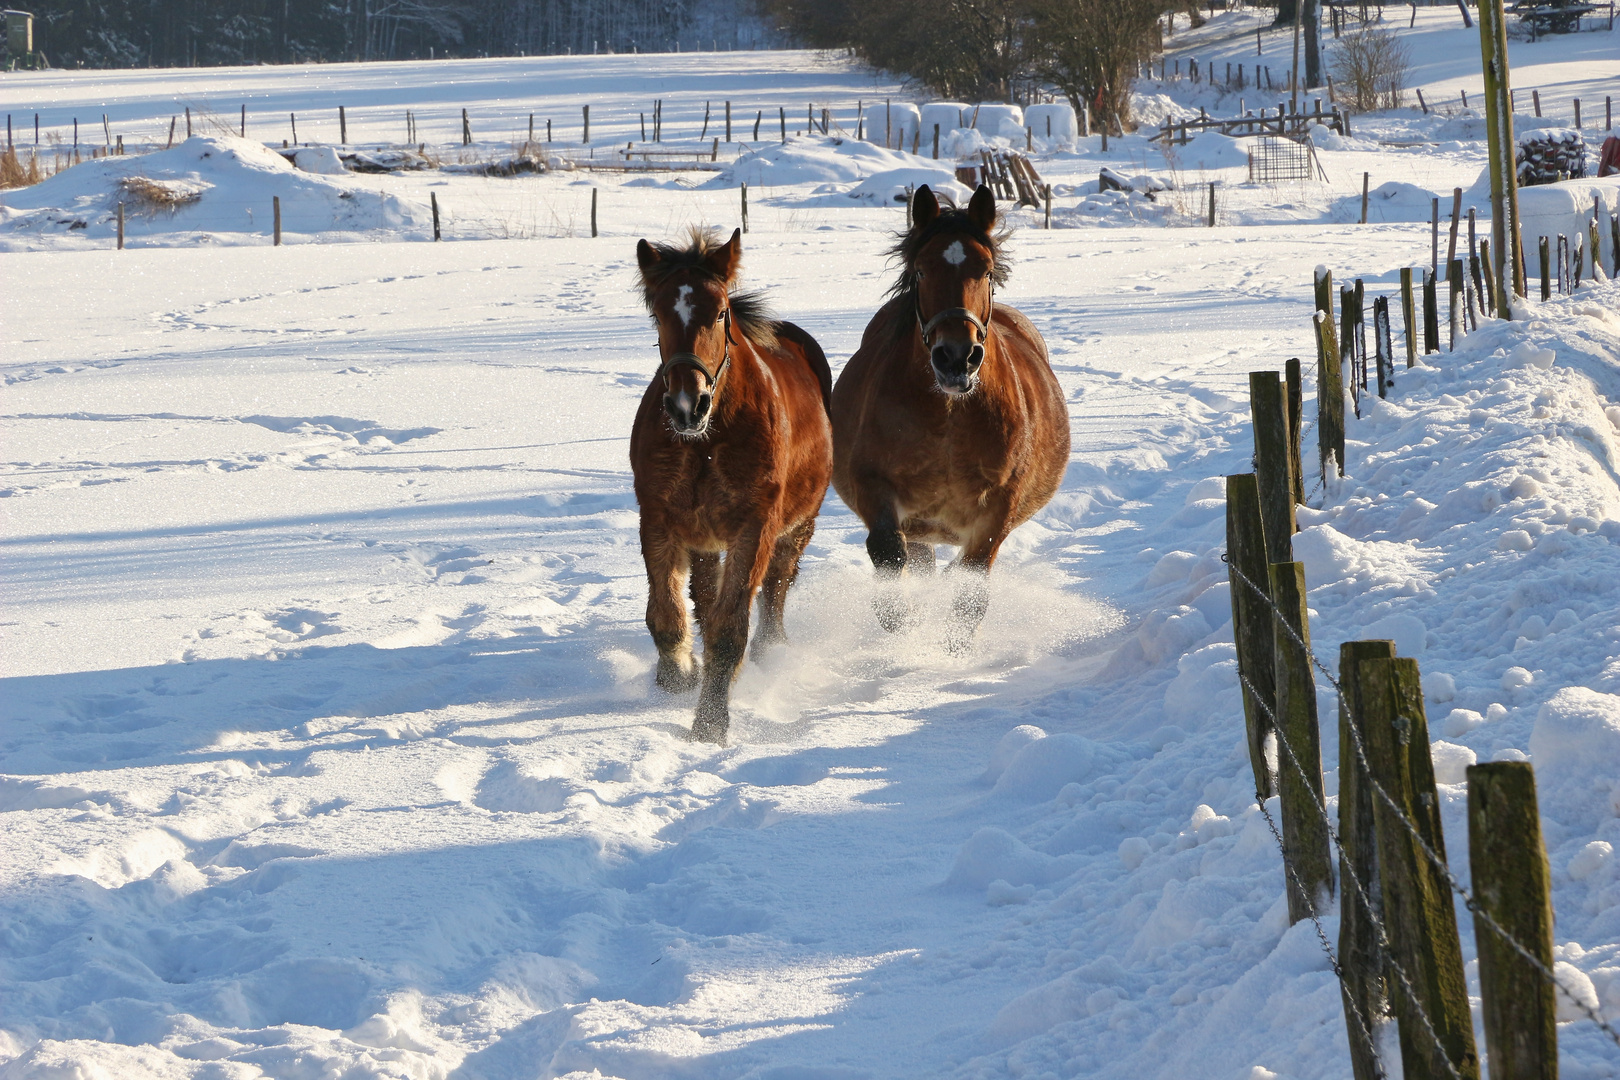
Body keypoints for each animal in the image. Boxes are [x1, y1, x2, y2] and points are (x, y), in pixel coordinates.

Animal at [628, 228, 835, 744]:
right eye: (658, 313)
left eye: (721, 311)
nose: (688, 405)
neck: (705, 443)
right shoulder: (659, 520)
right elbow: (667, 615)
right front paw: (678, 674)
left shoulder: (754, 528)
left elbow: (730, 628)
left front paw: (709, 725)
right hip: (704, 538)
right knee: (704, 595)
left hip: (799, 525)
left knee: (776, 587)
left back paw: (770, 651)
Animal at [829, 186, 1069, 647]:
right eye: (921, 271)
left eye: (987, 271)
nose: (957, 357)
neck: (949, 416)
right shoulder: (874, 487)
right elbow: (888, 554)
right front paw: (903, 633)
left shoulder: (998, 508)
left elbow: (971, 587)